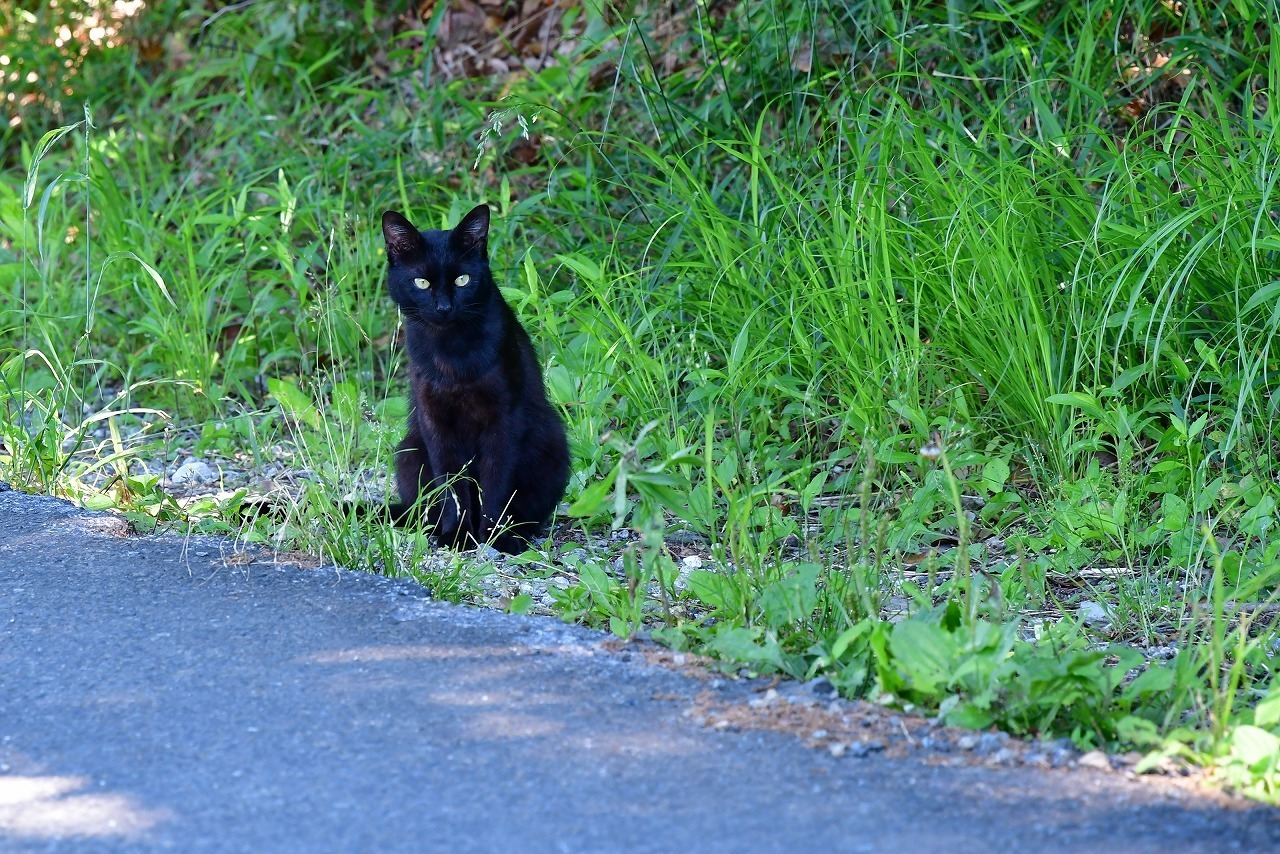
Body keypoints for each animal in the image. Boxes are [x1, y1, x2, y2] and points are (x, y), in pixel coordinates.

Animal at [378, 204, 570, 555]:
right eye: (421, 282)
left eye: (462, 279)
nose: (444, 307)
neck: (452, 351)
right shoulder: (435, 420)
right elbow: (453, 486)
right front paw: (457, 536)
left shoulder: (504, 419)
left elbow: (497, 483)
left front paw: (495, 535)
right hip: (411, 451)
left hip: (552, 442)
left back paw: (517, 532)